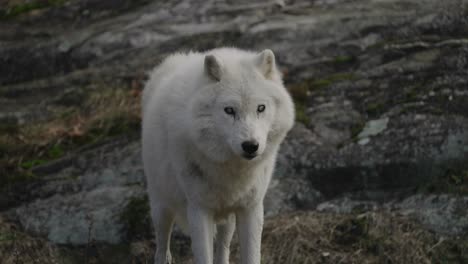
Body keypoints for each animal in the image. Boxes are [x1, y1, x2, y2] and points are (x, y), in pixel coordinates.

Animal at [143, 48, 294, 264]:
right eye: (229, 110)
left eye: (261, 108)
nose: (251, 146)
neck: (232, 171)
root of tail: (176, 58)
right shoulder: (199, 211)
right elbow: (203, 256)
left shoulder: (251, 208)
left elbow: (251, 255)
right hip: (161, 207)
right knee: (162, 245)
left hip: (227, 219)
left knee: (223, 247)